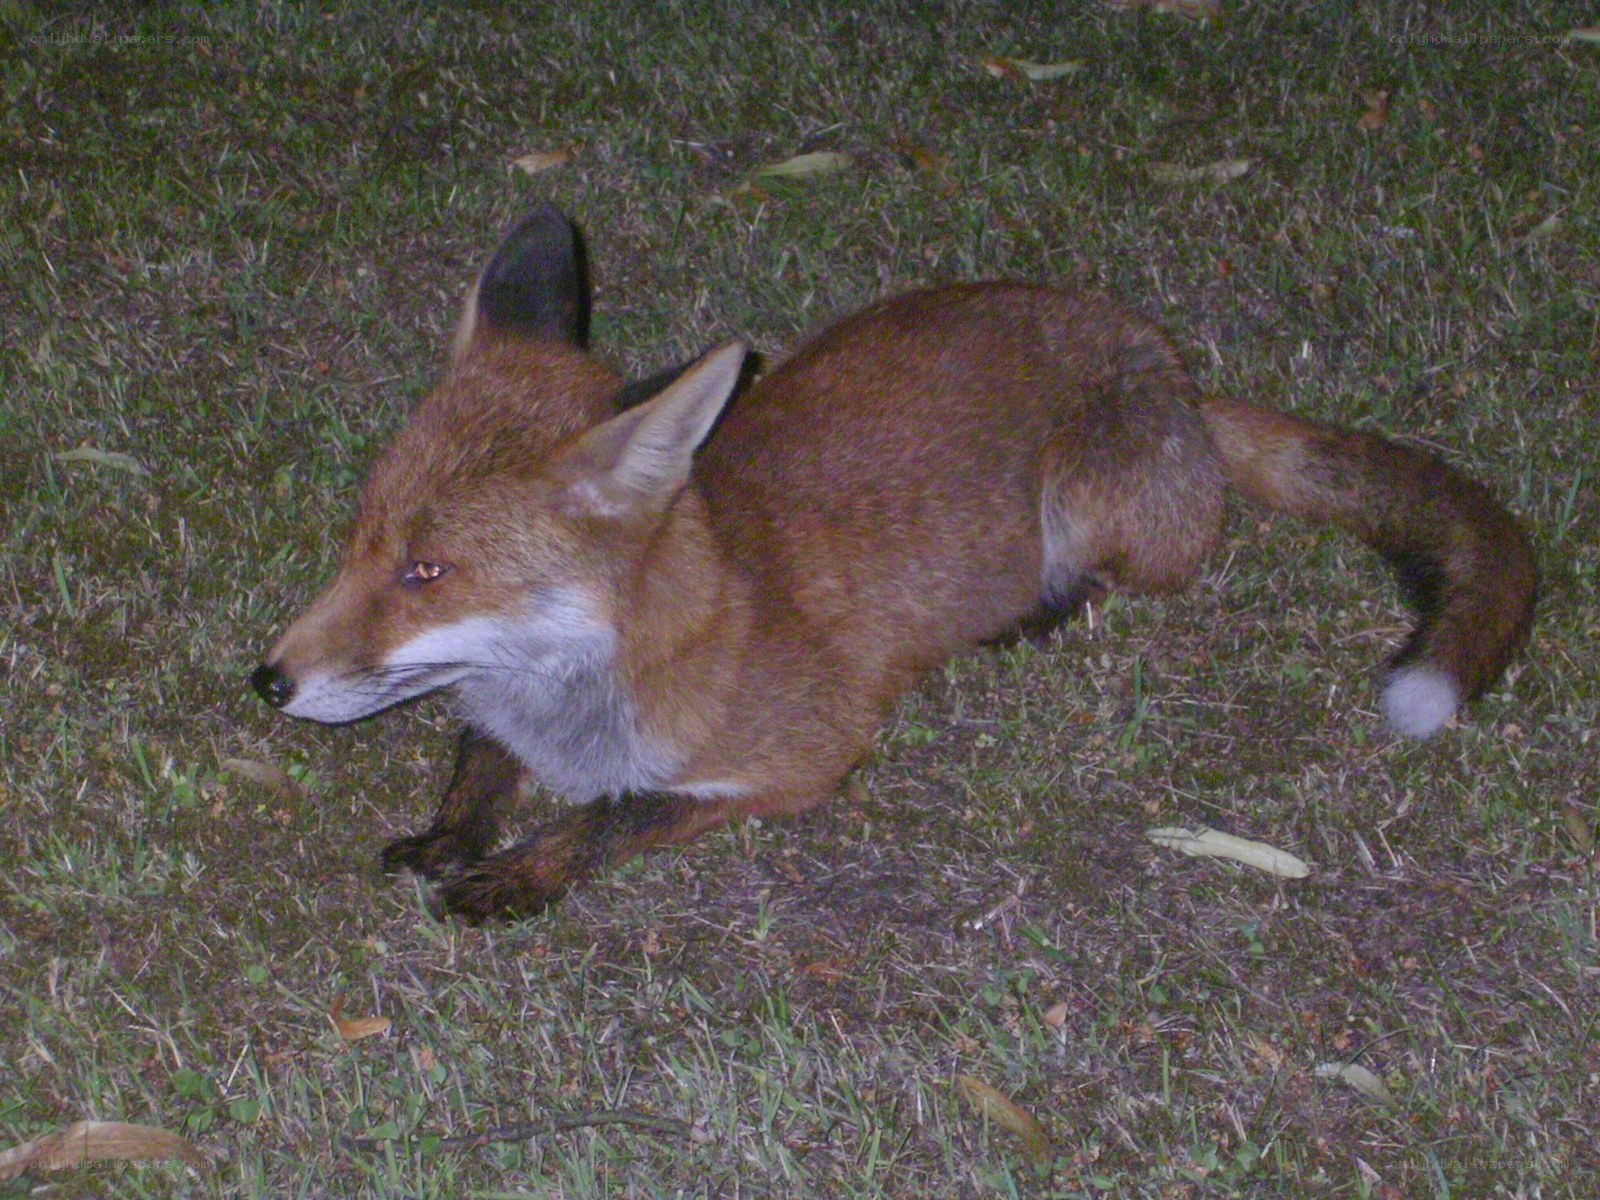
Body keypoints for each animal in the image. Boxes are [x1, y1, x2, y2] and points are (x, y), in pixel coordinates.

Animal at [250, 204, 1538, 923]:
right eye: (363, 540)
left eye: (429, 573)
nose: (267, 680)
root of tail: (1176, 371)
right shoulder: (502, 719)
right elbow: (477, 760)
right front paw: (452, 832)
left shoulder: (797, 760)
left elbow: (618, 815)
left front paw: (517, 877)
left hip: (1088, 505)